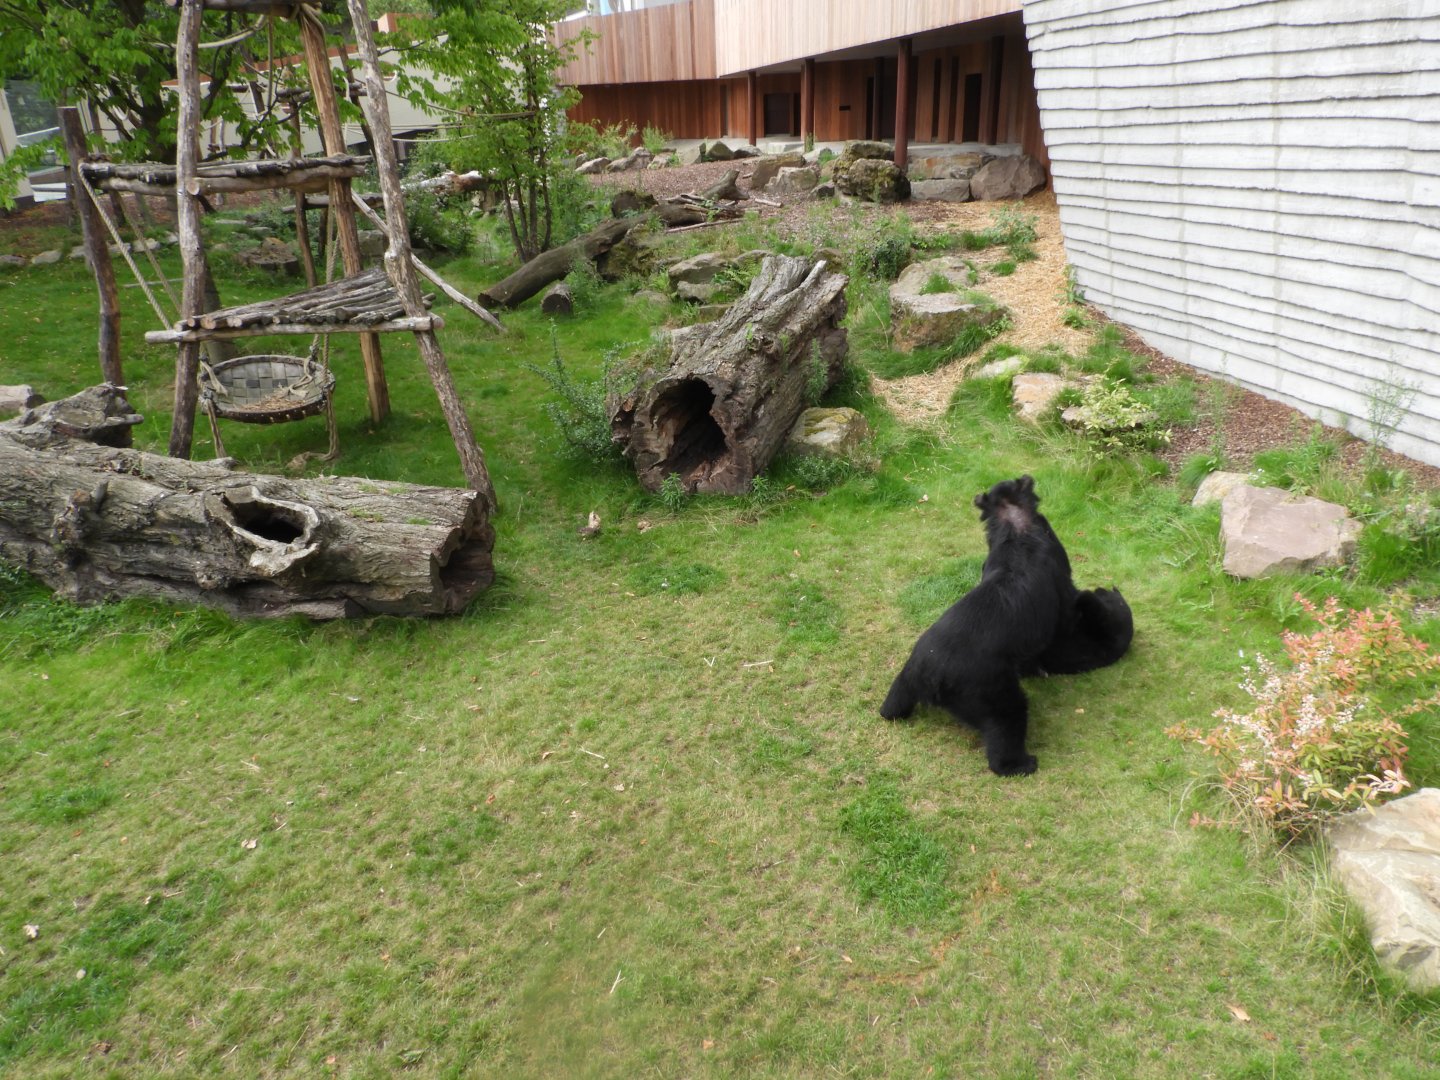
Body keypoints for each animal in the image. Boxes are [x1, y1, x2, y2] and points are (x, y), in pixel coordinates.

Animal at [879, 475, 1132, 776]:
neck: (1014, 527)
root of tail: (929, 676)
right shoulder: (1059, 574)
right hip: (990, 692)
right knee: (1006, 725)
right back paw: (1023, 763)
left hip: (905, 681)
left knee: (893, 705)